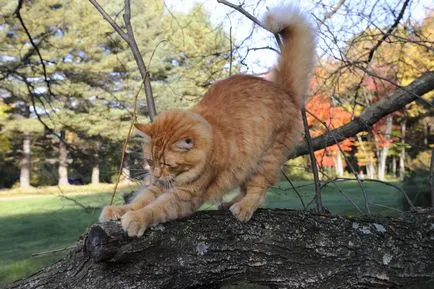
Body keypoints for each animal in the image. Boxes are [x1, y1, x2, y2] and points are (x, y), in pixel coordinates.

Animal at [99, 6, 316, 236]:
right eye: (150, 161)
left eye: (167, 164)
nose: (156, 174)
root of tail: (282, 89)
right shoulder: (158, 186)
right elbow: (139, 201)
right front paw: (118, 210)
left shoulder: (184, 195)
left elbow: (154, 208)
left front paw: (136, 219)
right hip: (245, 164)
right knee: (245, 187)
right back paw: (230, 203)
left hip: (265, 160)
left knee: (258, 190)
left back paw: (243, 207)